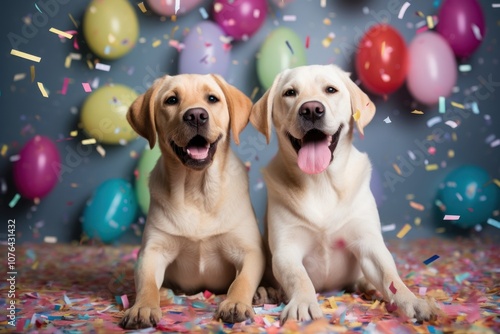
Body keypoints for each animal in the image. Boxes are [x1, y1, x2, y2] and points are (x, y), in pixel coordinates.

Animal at [120, 73, 266, 328]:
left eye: (212, 98)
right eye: (171, 100)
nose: (196, 115)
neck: (197, 190)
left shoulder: (250, 251)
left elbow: (242, 281)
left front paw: (235, 303)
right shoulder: (152, 251)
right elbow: (147, 283)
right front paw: (142, 307)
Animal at [250, 64, 438, 324]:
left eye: (331, 90)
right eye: (290, 93)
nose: (311, 109)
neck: (321, 182)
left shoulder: (368, 243)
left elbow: (391, 277)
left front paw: (412, 300)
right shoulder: (285, 250)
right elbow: (299, 277)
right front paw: (303, 302)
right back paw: (265, 291)